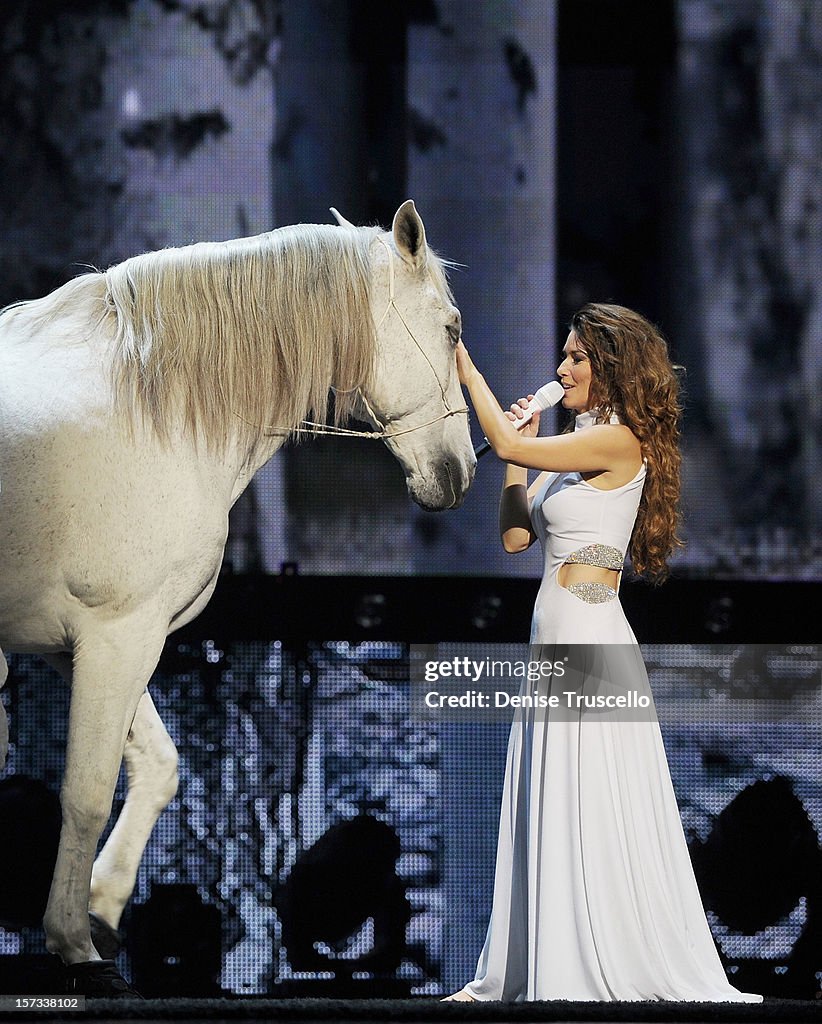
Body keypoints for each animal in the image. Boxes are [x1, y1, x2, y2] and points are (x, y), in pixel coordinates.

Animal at [0, 201, 474, 983]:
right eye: (451, 329)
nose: (460, 470)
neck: (148, 406)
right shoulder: (116, 636)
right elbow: (88, 791)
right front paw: (73, 940)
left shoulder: (86, 645)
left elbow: (158, 769)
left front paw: (101, 907)